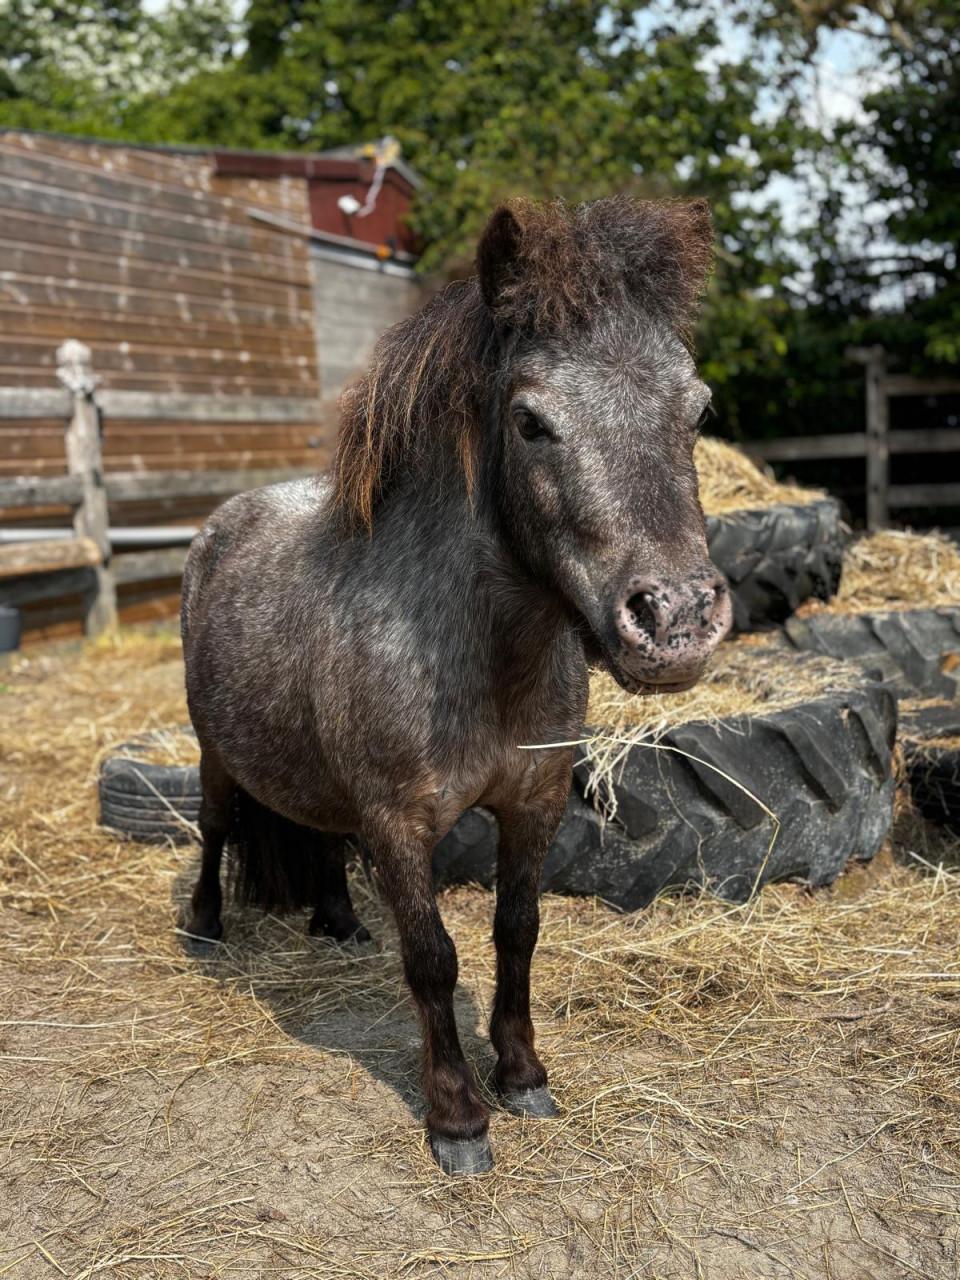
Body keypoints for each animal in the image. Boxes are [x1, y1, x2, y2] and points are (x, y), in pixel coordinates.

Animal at [179, 194, 732, 1175]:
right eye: (530, 422)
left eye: (697, 409)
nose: (674, 620)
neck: (482, 658)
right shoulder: (400, 827)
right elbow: (433, 959)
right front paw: (459, 1120)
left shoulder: (534, 804)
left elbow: (518, 931)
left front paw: (523, 1077)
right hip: (215, 755)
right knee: (213, 832)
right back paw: (207, 930)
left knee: (319, 837)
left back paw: (339, 923)